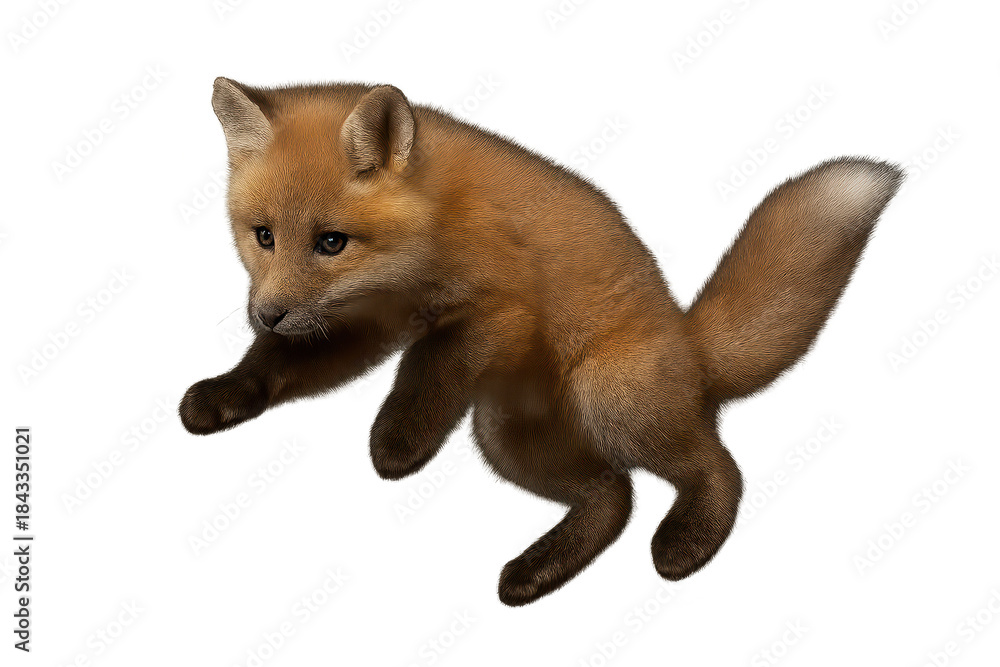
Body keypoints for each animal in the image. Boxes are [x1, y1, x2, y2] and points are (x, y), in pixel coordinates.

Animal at [180, 77, 903, 606]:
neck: (433, 228)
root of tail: (688, 342)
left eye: (331, 241)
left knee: (717, 466)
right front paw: (225, 393)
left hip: (603, 392)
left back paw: (687, 543)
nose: (264, 313)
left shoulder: (500, 309)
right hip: (506, 434)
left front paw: (399, 440)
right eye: (263, 235)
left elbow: (430, 363)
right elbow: (279, 365)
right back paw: (538, 571)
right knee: (613, 496)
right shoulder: (368, 318)